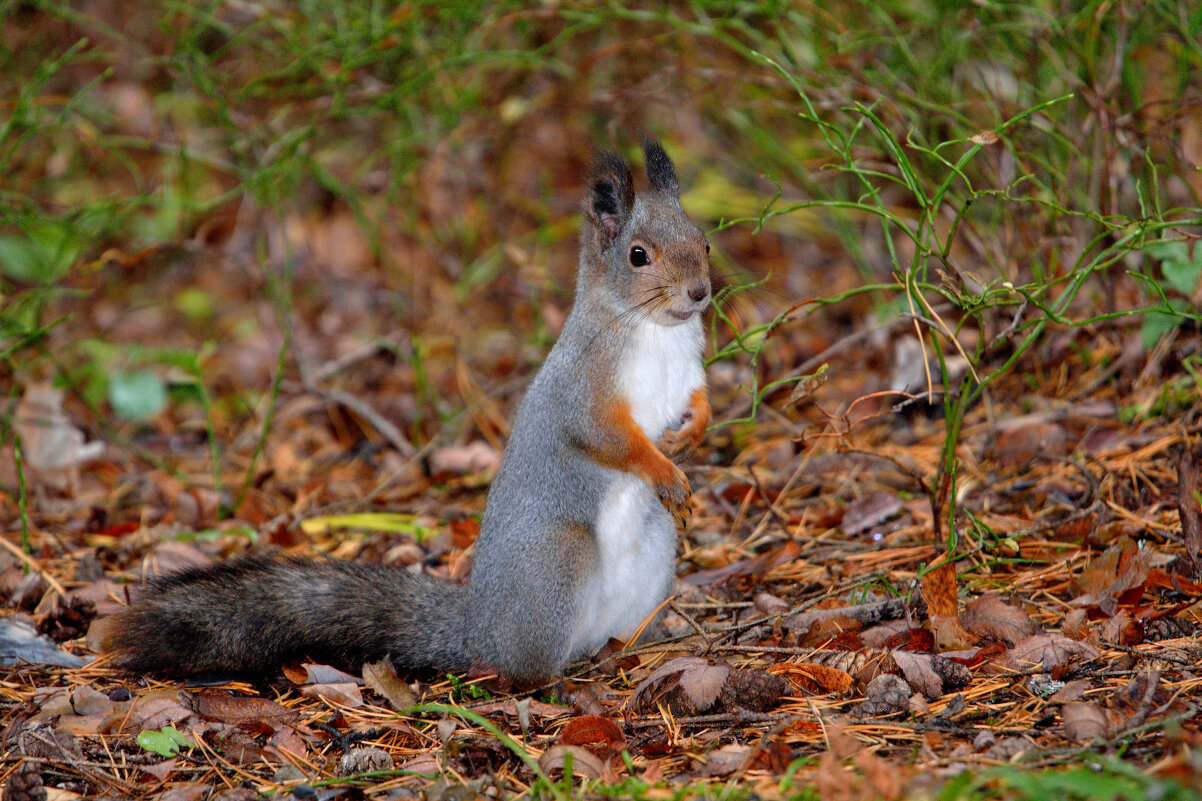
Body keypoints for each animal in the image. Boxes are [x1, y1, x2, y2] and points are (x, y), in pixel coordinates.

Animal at [100, 140, 711, 683]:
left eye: (704, 241)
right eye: (638, 256)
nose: (701, 293)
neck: (654, 330)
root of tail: (475, 631)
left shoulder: (687, 372)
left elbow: (700, 399)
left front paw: (693, 435)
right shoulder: (585, 387)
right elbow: (607, 436)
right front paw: (664, 470)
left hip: (655, 554)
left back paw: (630, 651)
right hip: (558, 565)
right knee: (521, 668)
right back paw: (550, 685)